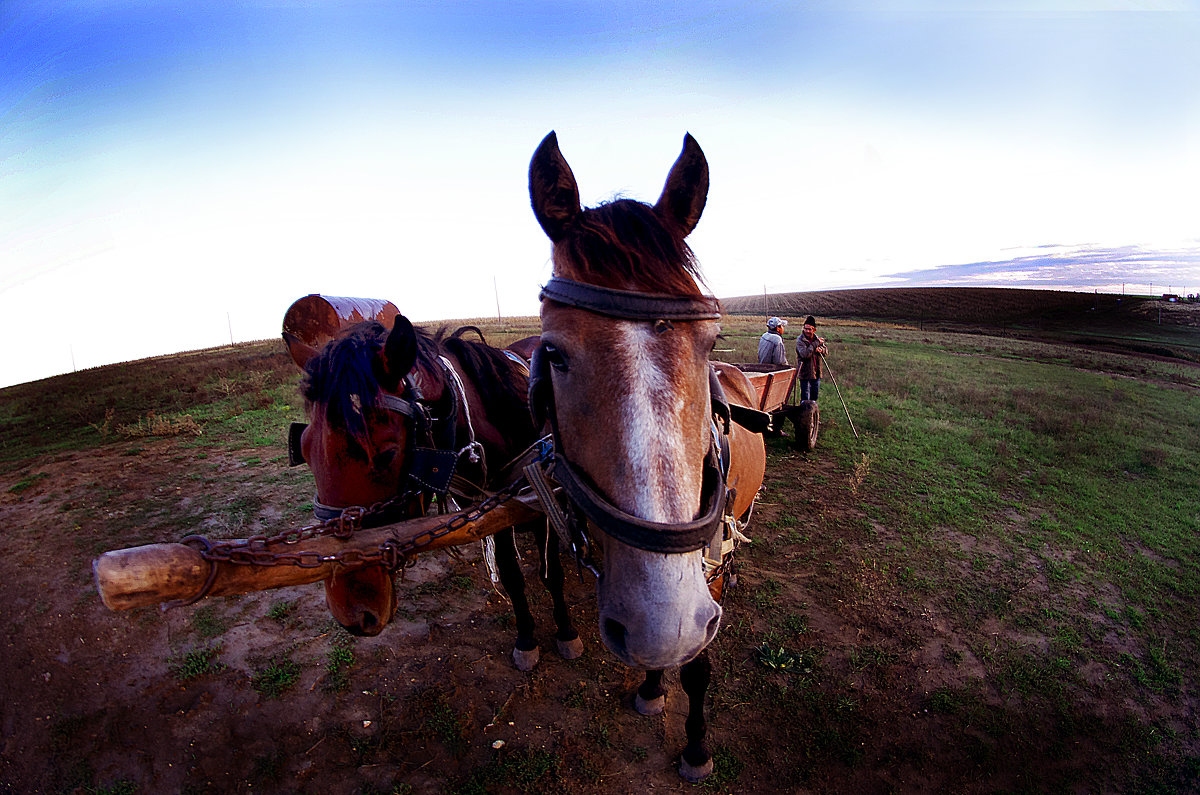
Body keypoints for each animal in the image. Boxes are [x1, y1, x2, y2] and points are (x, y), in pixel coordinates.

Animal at [280, 317, 580, 672]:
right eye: (303, 450)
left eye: (386, 454)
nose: (351, 613)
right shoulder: (495, 509)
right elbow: (510, 576)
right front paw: (526, 638)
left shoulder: (543, 504)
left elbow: (552, 574)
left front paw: (566, 632)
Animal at [528, 132, 768, 782]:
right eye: (552, 353)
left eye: (711, 339)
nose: (663, 622)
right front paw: (653, 684)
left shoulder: (708, 577)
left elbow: (699, 664)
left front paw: (696, 747)